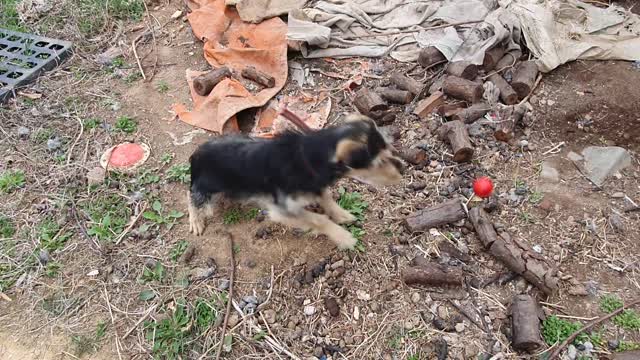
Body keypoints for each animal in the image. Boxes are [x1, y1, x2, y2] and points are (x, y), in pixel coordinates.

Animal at [188, 114, 402, 249]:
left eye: (389, 149)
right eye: (379, 162)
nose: (403, 169)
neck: (308, 157)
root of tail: (196, 154)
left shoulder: (316, 185)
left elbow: (326, 198)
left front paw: (341, 214)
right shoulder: (282, 209)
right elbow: (319, 219)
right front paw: (342, 237)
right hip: (206, 186)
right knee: (191, 195)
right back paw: (196, 221)